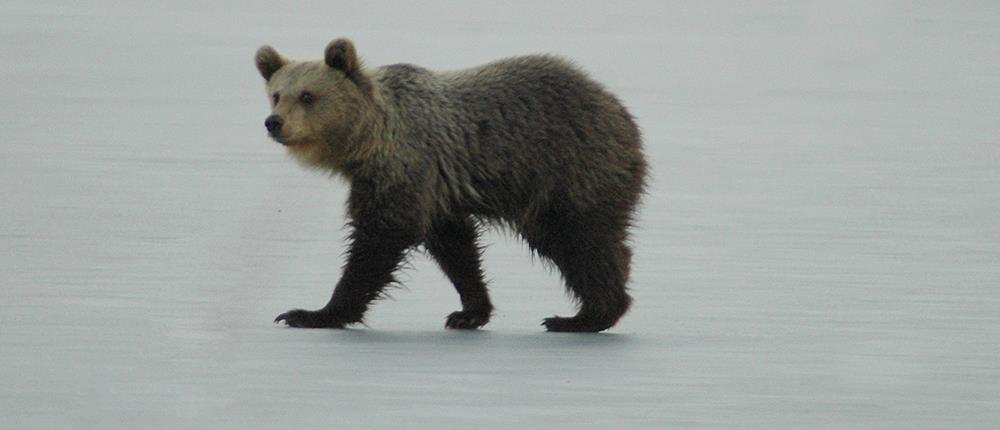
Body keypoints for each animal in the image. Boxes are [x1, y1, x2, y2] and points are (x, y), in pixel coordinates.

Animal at [258, 37, 648, 332]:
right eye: (276, 94)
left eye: (307, 96)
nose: (274, 122)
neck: (369, 139)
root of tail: (621, 112)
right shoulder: (437, 188)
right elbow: (455, 246)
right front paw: (470, 311)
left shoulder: (405, 167)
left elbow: (381, 237)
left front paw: (312, 313)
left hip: (568, 168)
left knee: (579, 240)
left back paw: (584, 316)